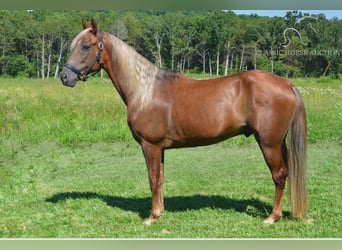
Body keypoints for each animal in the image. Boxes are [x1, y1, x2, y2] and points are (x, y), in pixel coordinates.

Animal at [60, 18, 308, 224]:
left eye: (86, 46)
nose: (65, 76)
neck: (145, 90)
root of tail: (287, 84)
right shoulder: (160, 148)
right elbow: (160, 179)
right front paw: (159, 213)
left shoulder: (150, 146)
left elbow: (152, 179)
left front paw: (151, 217)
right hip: (279, 143)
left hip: (268, 143)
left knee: (279, 175)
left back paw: (272, 217)